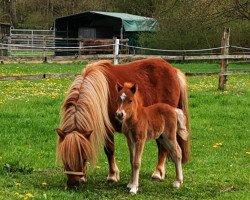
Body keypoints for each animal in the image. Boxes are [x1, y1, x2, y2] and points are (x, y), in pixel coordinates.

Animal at [56, 57, 189, 188]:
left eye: (83, 156)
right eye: (64, 157)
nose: (73, 184)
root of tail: (174, 70)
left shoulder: (108, 128)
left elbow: (109, 150)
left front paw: (112, 175)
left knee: (164, 149)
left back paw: (158, 172)